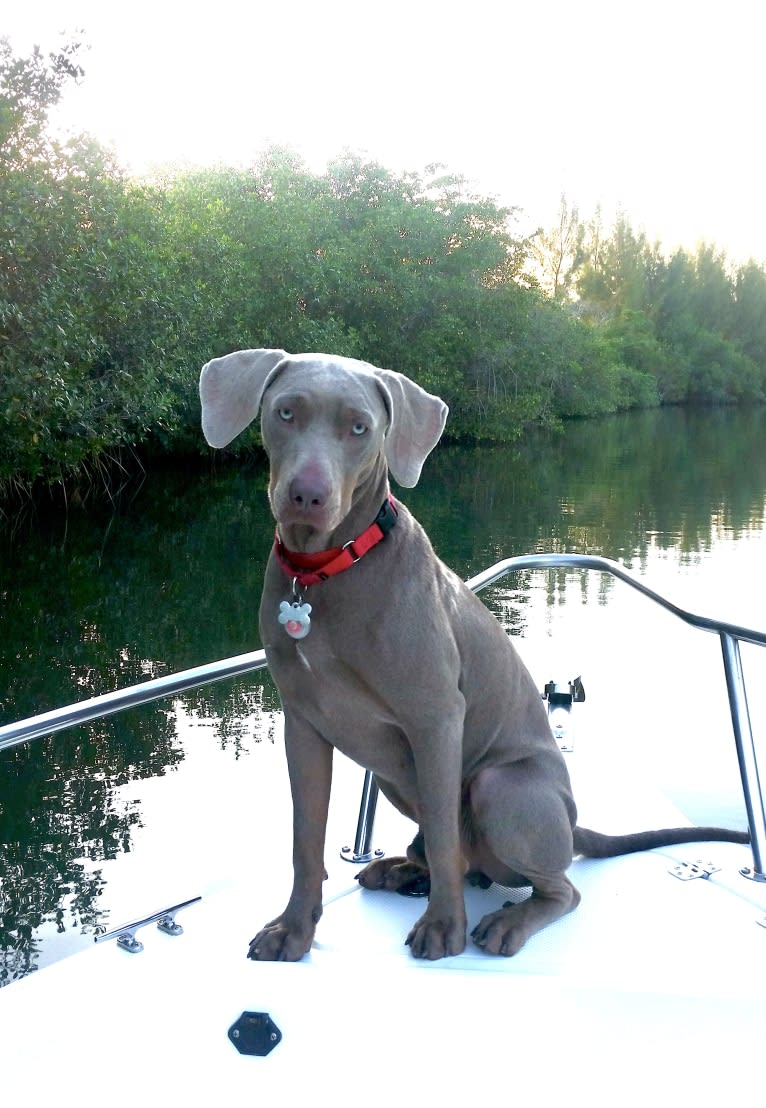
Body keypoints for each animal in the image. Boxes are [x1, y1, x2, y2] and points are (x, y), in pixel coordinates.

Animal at [197, 347, 749, 961]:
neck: (325, 572)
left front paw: (444, 928)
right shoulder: (303, 722)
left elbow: (443, 834)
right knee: (463, 862)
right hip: (394, 775)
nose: (307, 496)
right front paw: (293, 930)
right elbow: (305, 839)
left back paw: (506, 921)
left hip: (499, 785)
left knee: (554, 886)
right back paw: (400, 870)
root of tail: (572, 823)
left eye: (360, 428)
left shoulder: (436, 719)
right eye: (286, 412)